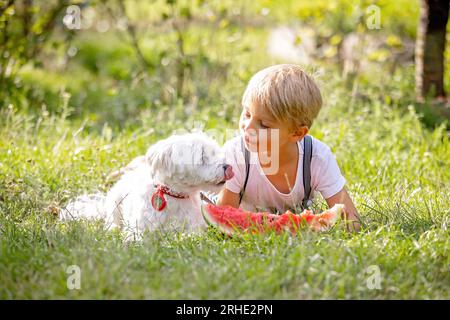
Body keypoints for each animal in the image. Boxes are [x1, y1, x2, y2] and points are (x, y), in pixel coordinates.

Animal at [59, 132, 234, 238]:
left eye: (215, 151)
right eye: (203, 156)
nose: (228, 166)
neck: (175, 196)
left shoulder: (194, 228)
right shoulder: (139, 229)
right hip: (115, 200)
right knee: (112, 220)